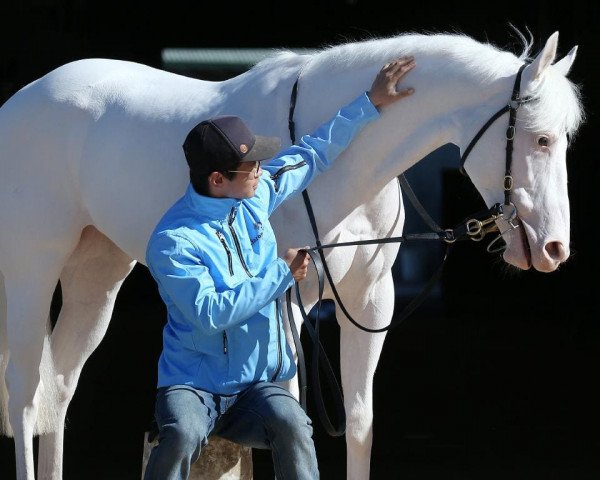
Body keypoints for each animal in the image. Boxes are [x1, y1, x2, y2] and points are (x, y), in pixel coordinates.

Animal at [0, 28, 580, 478]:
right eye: (542, 139)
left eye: (563, 138)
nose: (554, 249)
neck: (347, 168)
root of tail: (18, 102)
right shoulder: (289, 303)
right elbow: (295, 418)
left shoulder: (370, 302)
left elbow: (360, 424)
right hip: (32, 270)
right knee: (25, 395)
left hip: (96, 273)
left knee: (58, 392)